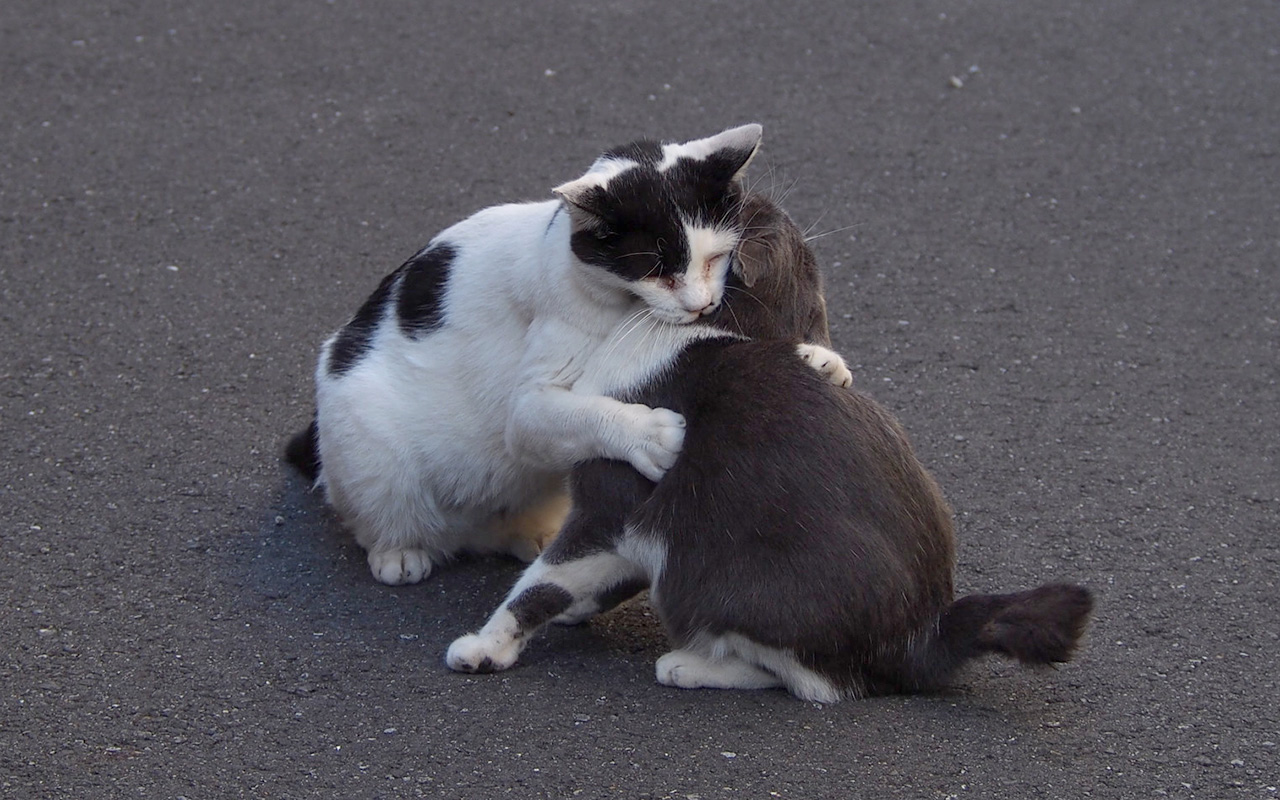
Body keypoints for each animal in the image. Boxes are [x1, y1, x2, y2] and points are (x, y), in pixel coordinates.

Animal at [289, 126, 849, 586]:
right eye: (656, 269)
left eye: (715, 257)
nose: (701, 304)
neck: (623, 304)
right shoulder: (529, 406)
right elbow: (584, 413)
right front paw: (650, 434)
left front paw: (820, 359)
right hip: (366, 435)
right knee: (374, 515)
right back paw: (400, 552)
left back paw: (530, 536)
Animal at [448, 199, 1090, 696]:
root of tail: (928, 630)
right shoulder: (639, 533)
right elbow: (588, 580)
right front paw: (577, 610)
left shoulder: (611, 506)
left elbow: (540, 582)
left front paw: (485, 646)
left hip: (725, 580)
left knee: (816, 682)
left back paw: (689, 665)